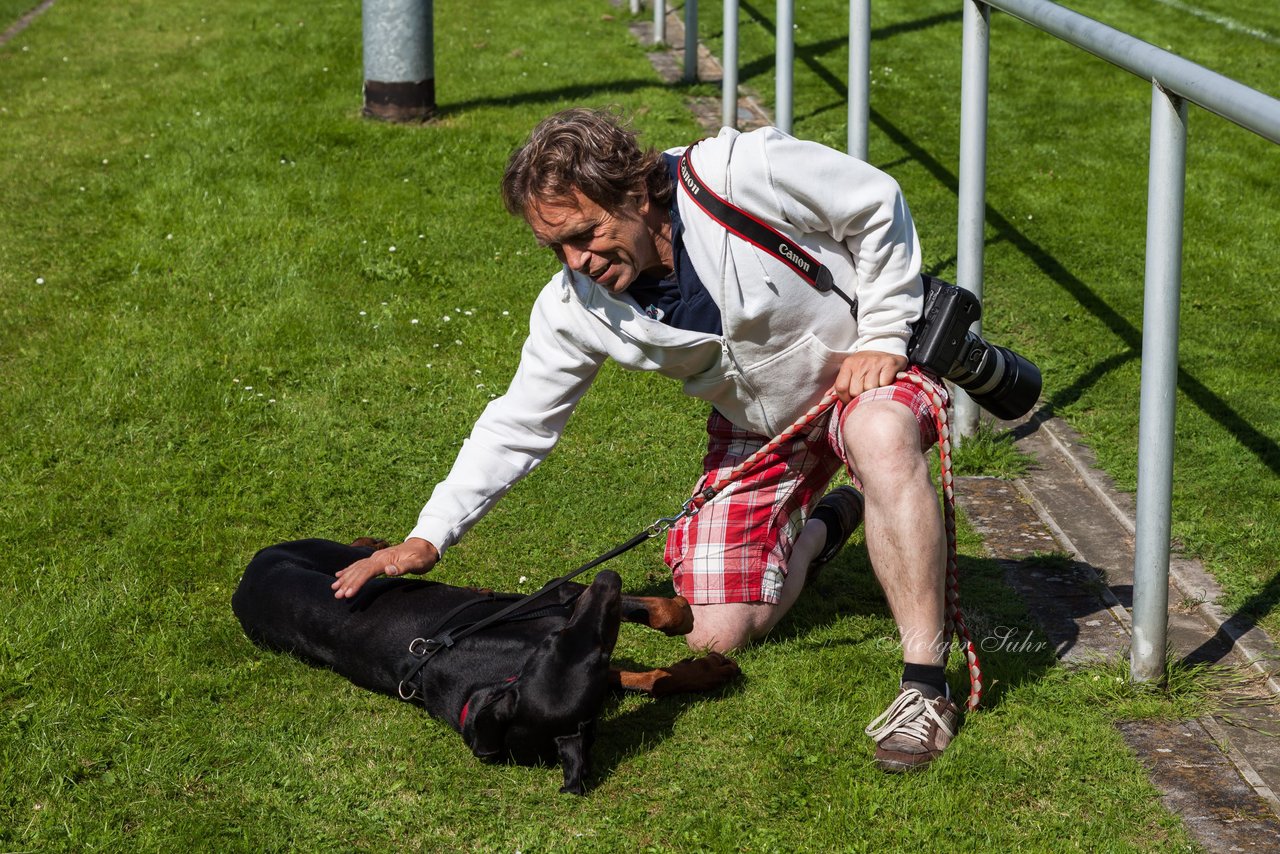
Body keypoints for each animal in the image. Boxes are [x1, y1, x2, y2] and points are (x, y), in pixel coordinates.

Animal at [232, 540, 742, 793]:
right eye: (558, 640)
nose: (606, 575)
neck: (496, 684)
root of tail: (243, 585)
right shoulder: (559, 599)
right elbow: (650, 616)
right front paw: (691, 627)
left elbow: (651, 676)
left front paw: (706, 669)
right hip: (336, 556)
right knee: (362, 551)